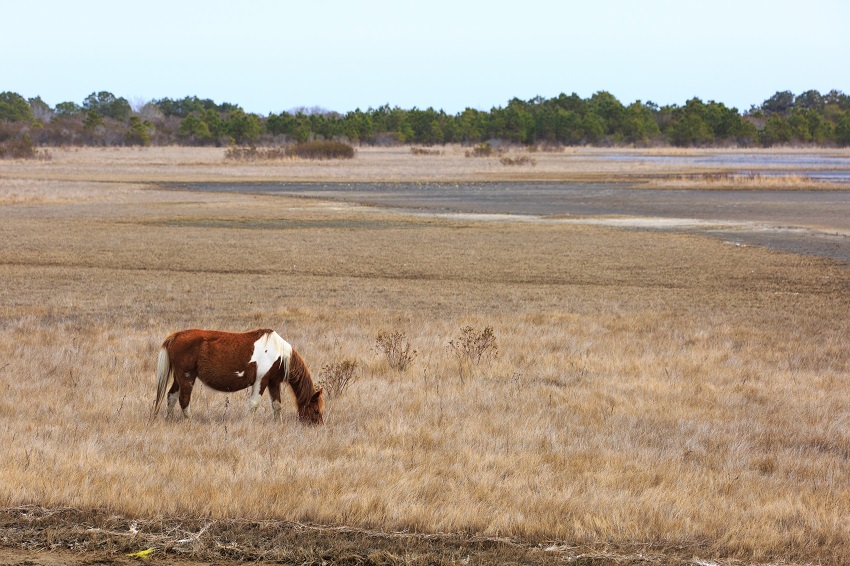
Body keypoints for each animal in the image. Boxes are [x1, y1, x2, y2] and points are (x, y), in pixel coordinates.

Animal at [151, 328, 322, 426]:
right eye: (316, 411)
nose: (318, 426)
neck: (279, 354)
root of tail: (175, 336)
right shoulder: (261, 381)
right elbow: (253, 404)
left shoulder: (273, 382)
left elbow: (277, 405)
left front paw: (278, 425)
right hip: (187, 377)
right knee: (183, 399)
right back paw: (189, 422)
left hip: (179, 378)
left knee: (171, 396)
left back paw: (169, 420)